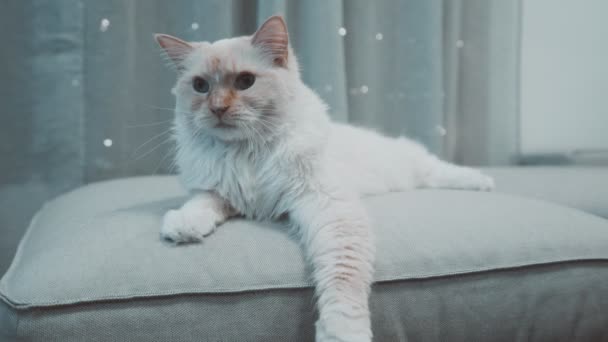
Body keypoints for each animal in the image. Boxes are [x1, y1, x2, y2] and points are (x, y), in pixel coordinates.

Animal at [156, 15, 494, 342]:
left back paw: (482, 181)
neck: (246, 152)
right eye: (200, 86)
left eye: (245, 82)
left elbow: (343, 278)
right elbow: (201, 203)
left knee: (437, 169)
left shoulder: (326, 205)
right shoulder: (223, 192)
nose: (217, 109)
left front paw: (341, 332)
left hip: (412, 167)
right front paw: (183, 226)